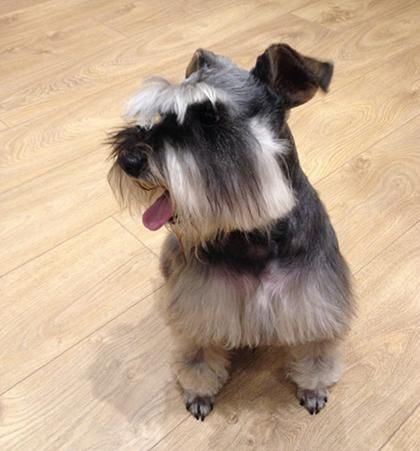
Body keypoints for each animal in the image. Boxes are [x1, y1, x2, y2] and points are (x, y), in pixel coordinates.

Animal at [108, 43, 354, 421]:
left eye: (210, 116)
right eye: (162, 113)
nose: (129, 159)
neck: (256, 234)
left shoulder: (314, 302)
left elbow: (316, 354)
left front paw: (314, 388)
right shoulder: (203, 307)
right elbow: (198, 358)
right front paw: (198, 393)